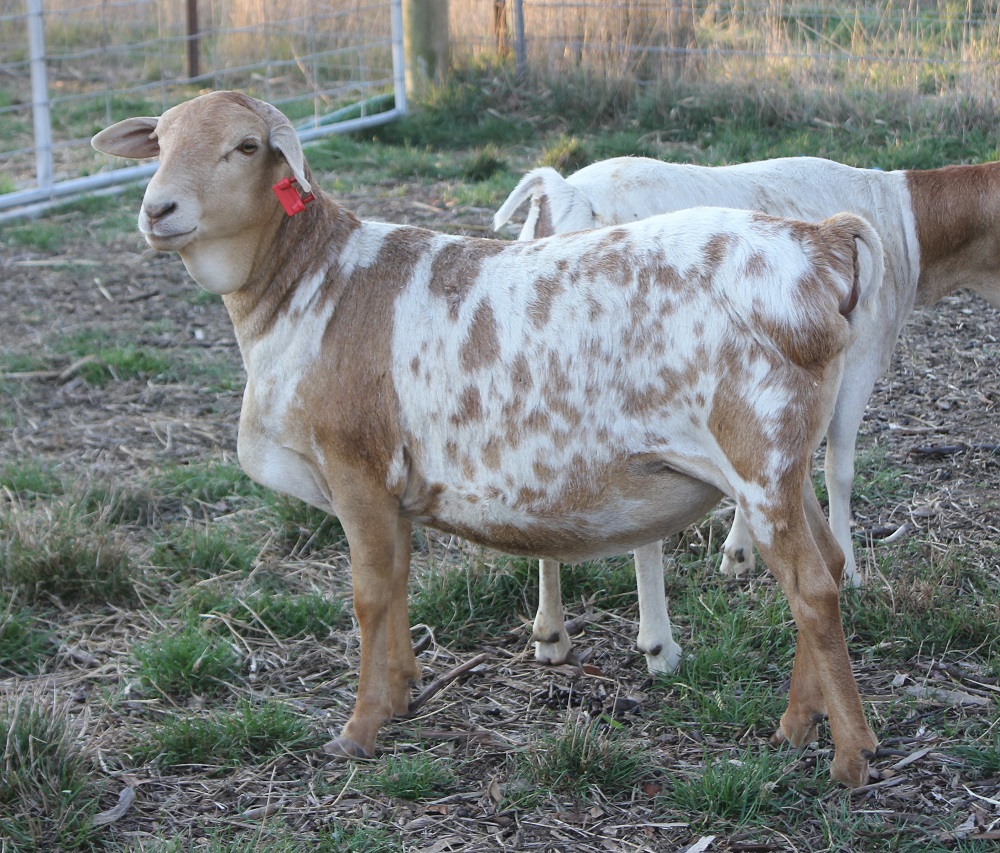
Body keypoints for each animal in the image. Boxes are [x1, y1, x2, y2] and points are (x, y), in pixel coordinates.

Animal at [90, 93, 880, 784]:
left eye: (247, 146)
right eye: (159, 142)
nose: (158, 209)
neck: (312, 282)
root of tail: (823, 241)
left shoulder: (355, 467)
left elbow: (368, 596)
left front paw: (358, 730)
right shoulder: (392, 486)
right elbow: (397, 582)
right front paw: (401, 694)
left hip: (759, 454)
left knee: (811, 587)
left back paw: (849, 758)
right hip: (784, 458)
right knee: (829, 562)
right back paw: (798, 726)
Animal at [496, 153, 1000, 672]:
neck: (907, 227)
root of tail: (568, 196)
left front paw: (738, 553)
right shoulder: (856, 360)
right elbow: (839, 469)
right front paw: (851, 571)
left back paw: (551, 634)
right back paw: (659, 644)